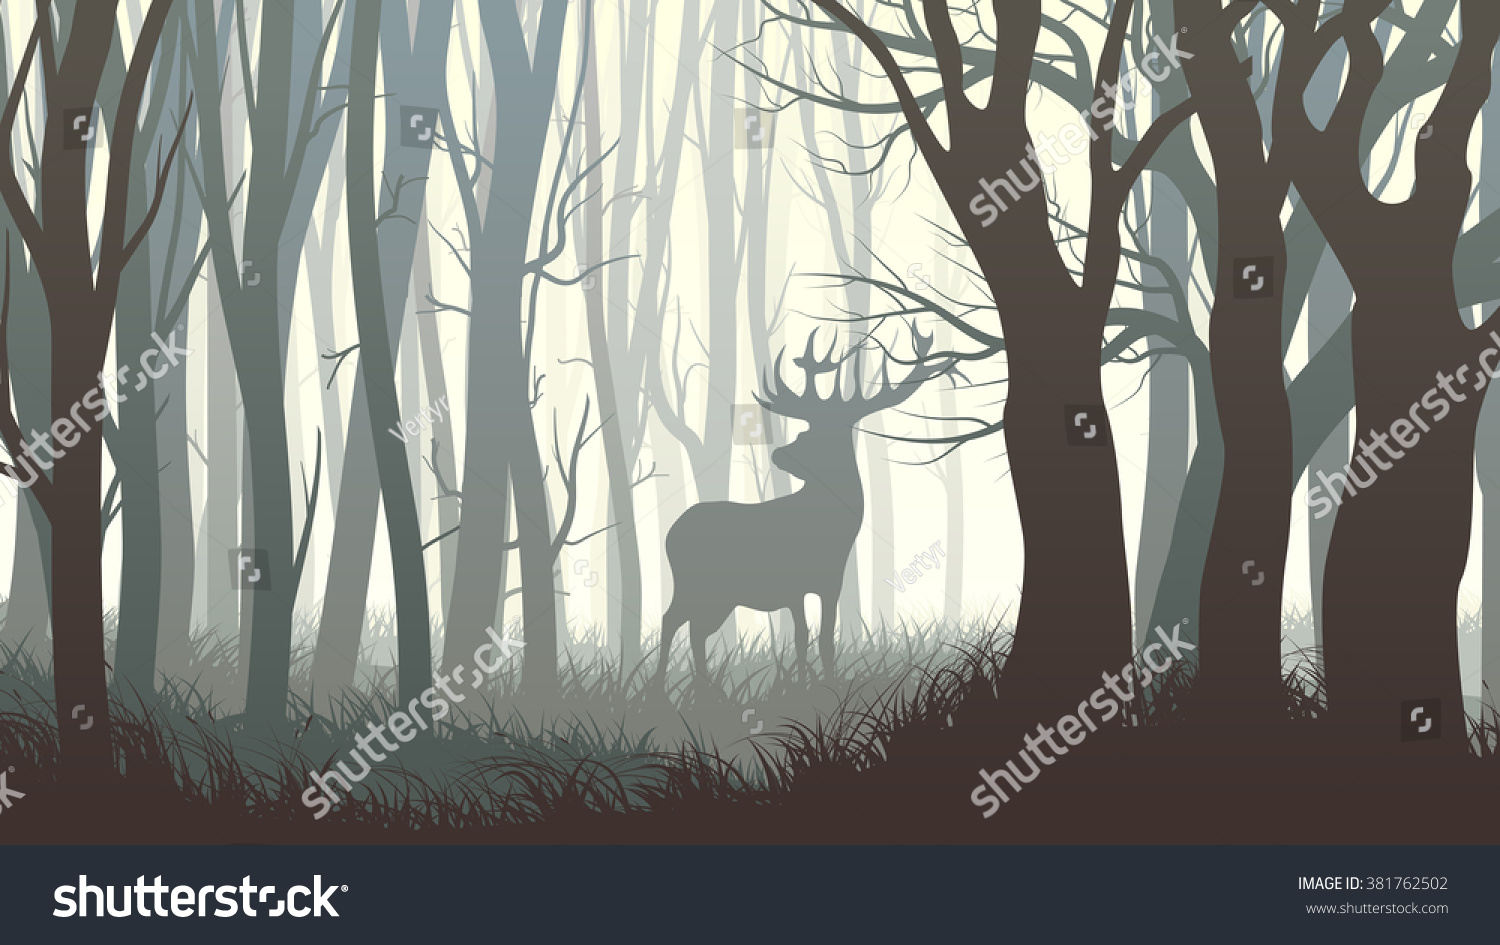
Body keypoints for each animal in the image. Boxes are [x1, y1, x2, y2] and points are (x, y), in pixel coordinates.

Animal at [657, 326, 949, 680]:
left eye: (808, 436)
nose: (778, 455)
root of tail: (671, 533)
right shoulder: (794, 582)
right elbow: (803, 635)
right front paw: (807, 683)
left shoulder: (830, 581)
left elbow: (820, 637)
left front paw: (824, 682)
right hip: (697, 584)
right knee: (673, 620)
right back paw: (664, 684)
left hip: (718, 595)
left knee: (694, 628)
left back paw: (702, 685)